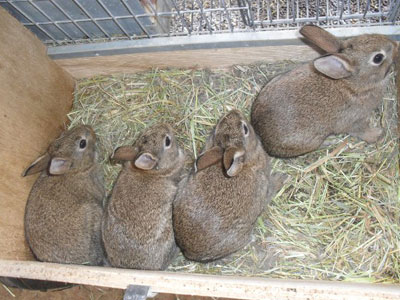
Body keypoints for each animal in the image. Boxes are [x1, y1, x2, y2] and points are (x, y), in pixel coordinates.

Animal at [173, 109, 286, 262]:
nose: (234, 111)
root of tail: (188, 252)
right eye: (245, 128)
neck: (246, 162)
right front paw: (282, 178)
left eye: (217, 127)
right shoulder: (265, 189)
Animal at [252, 24, 398, 158]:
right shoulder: (354, 121)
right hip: (311, 140)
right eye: (378, 58)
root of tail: (261, 137)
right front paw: (377, 134)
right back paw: (329, 141)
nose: (395, 44)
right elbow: (361, 131)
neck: (354, 85)